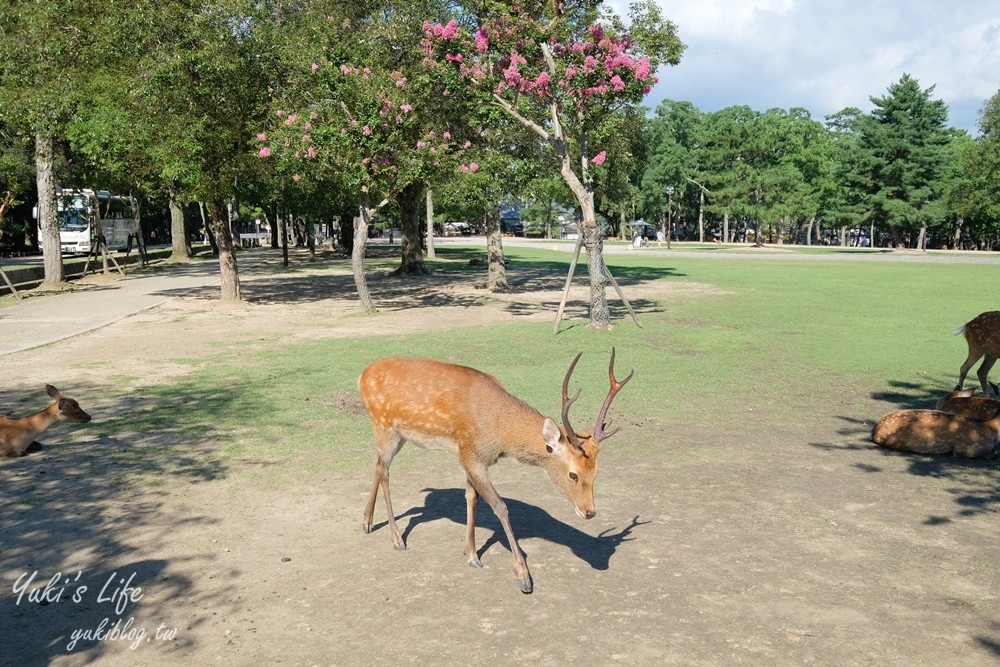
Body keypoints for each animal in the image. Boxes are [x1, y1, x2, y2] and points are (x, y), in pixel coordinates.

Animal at [358, 350, 632, 596]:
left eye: (596, 473)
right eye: (573, 474)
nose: (590, 512)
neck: (499, 434)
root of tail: (362, 375)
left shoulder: (473, 458)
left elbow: (472, 498)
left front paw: (471, 554)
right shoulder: (471, 454)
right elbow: (500, 506)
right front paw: (523, 577)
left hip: (399, 435)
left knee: (380, 467)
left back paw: (367, 521)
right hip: (383, 425)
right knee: (385, 471)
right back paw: (396, 538)